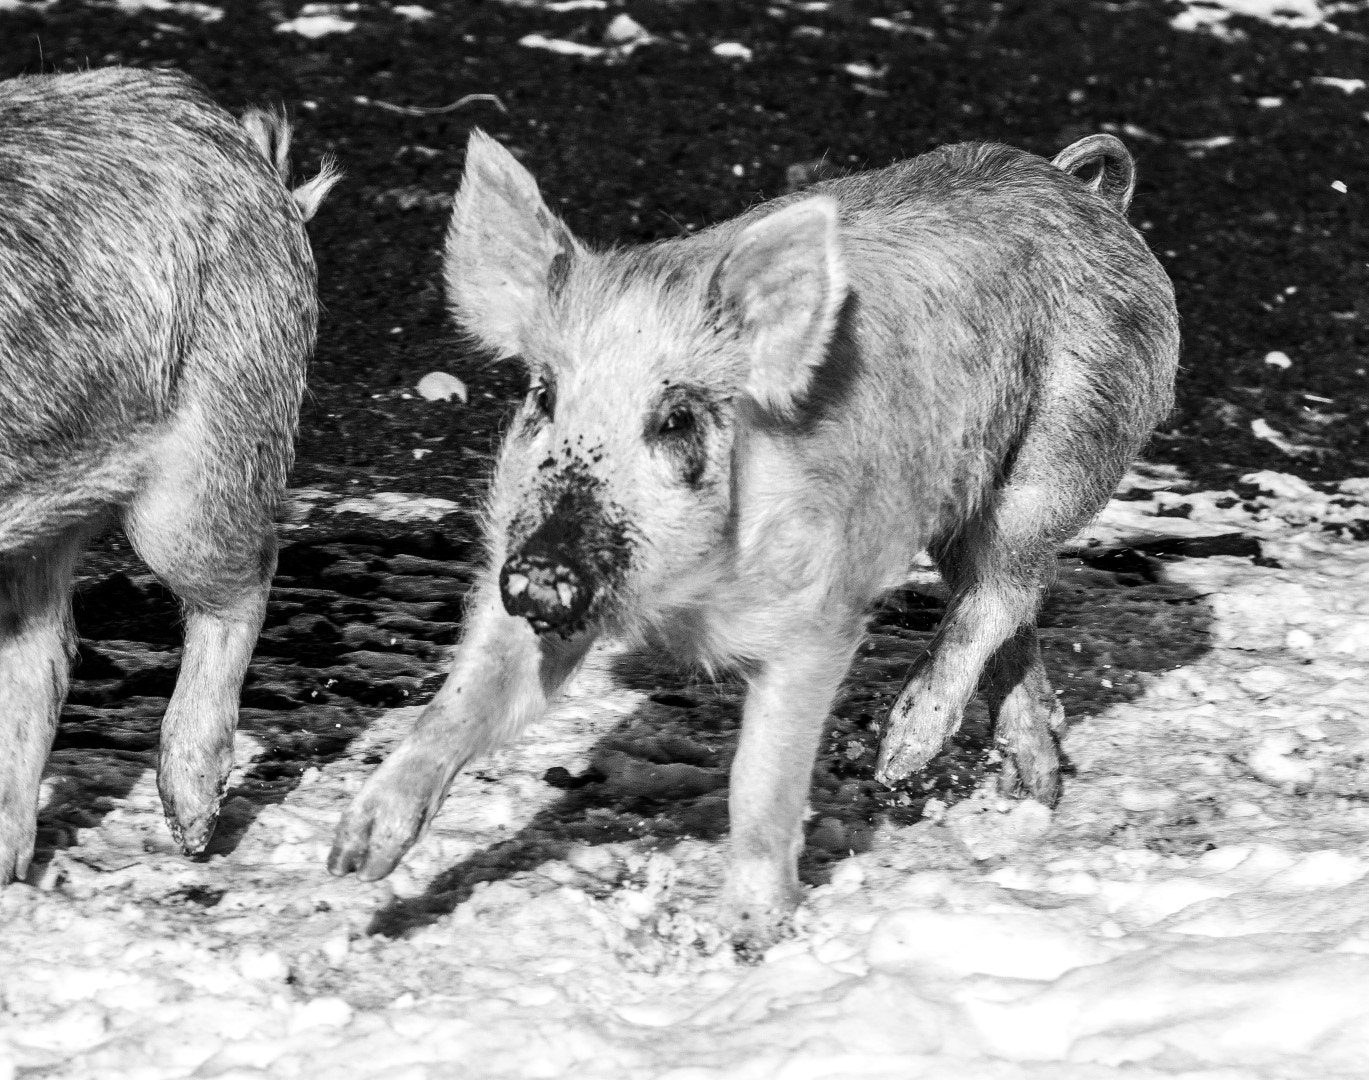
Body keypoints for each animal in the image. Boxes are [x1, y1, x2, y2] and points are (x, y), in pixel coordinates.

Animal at [329, 129, 1178, 942]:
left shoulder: (819, 616)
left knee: (1007, 583)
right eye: (544, 394)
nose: (543, 576)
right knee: (1005, 603)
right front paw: (353, 861)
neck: (676, 607)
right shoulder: (524, 565)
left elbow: (761, 778)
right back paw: (1031, 788)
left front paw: (749, 935)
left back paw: (903, 754)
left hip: (1065, 447)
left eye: (675, 419)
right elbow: (462, 703)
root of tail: (1083, 194)